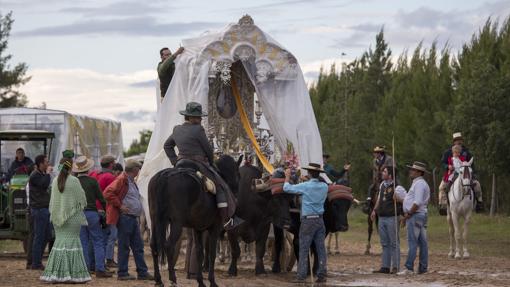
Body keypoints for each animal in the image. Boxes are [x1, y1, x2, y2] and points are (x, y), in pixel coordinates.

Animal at [148, 155, 242, 287]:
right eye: (239, 174)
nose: (237, 198)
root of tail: (164, 176)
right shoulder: (215, 228)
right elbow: (211, 254)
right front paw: (212, 281)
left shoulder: (197, 229)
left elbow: (199, 252)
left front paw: (200, 281)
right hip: (176, 223)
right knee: (169, 245)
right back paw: (172, 279)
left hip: (155, 221)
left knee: (153, 245)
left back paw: (158, 280)